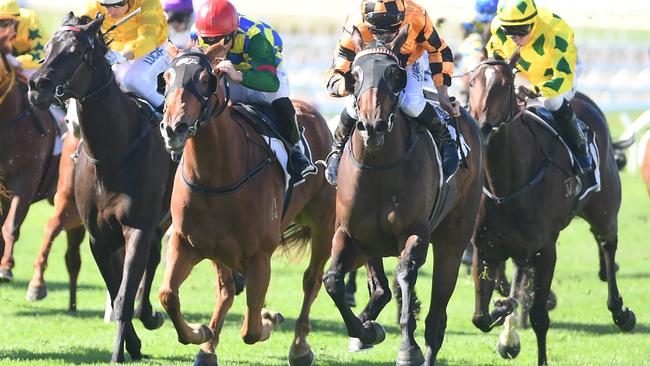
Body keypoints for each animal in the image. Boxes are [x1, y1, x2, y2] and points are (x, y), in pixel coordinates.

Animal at [27, 13, 172, 360]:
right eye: (48, 46)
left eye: (76, 51)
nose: (37, 86)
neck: (113, 151)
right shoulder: (99, 236)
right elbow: (116, 287)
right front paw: (133, 343)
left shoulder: (137, 228)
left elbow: (123, 295)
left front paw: (119, 352)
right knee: (153, 258)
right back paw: (149, 315)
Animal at [154, 43, 332, 366]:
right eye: (167, 78)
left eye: (205, 78)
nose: (174, 128)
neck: (216, 177)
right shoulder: (185, 242)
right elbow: (168, 295)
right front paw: (200, 332)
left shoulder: (259, 255)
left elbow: (250, 329)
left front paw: (269, 320)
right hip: (219, 250)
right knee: (225, 291)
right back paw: (208, 346)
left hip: (324, 225)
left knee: (311, 281)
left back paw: (300, 346)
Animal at [322, 27, 484, 364]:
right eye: (355, 75)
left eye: (394, 73)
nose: (371, 125)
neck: (378, 167)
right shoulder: (349, 233)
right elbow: (333, 281)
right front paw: (365, 331)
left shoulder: (415, 232)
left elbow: (405, 274)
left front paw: (408, 347)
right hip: (371, 243)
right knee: (380, 288)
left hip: (453, 238)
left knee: (437, 318)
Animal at [466, 55, 632, 364]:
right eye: (472, 82)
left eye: (505, 85)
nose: (481, 128)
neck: (505, 185)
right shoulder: (484, 247)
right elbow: (480, 317)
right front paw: (504, 319)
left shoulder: (545, 250)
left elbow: (540, 317)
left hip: (604, 209)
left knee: (607, 242)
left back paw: (619, 309)